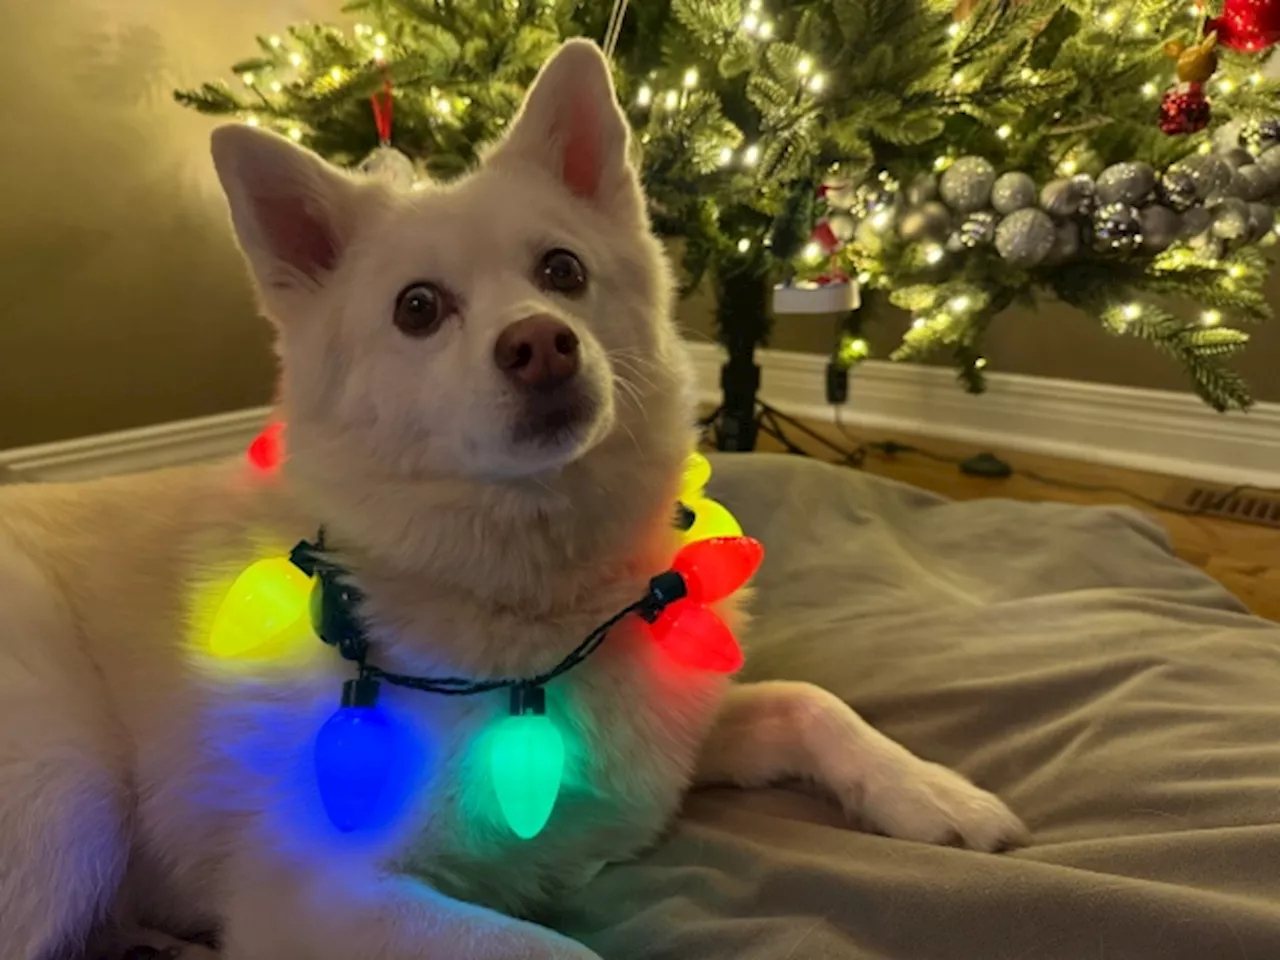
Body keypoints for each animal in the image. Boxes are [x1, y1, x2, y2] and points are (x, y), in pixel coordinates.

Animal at [0, 39, 1024, 960]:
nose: (542, 345)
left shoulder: (666, 749)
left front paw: (935, 794)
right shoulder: (314, 898)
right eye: (417, 307)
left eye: (562, 271)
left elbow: (809, 701)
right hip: (70, 804)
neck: (524, 595)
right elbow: (557, 952)